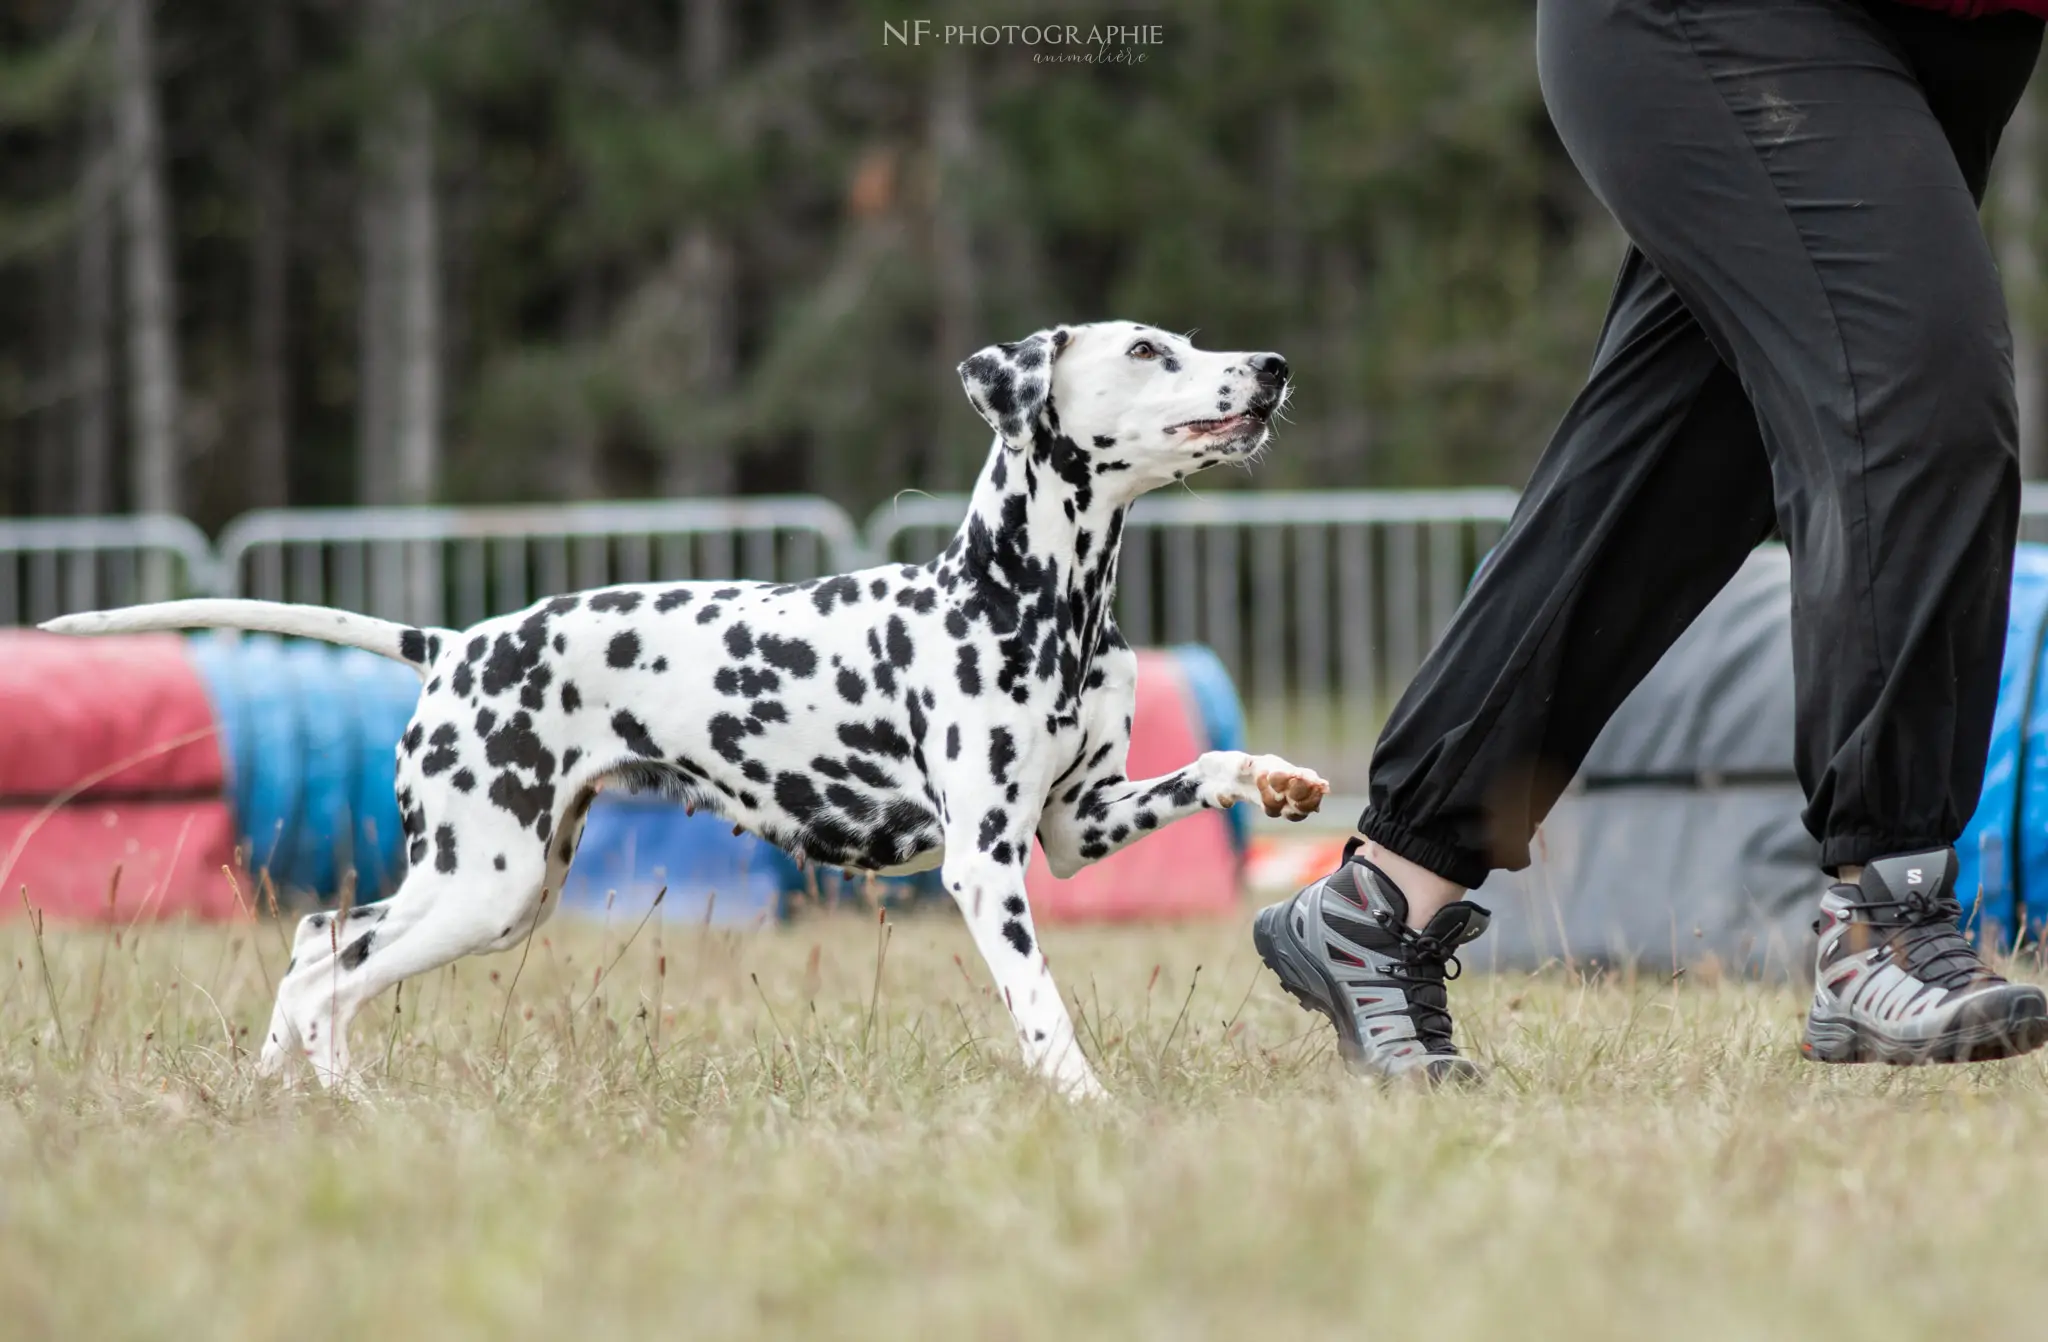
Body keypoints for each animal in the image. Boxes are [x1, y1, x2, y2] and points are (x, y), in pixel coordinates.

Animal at [48, 323, 1335, 1106]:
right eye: (1148, 350)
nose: (1274, 363)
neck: (1034, 598)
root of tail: (455, 642)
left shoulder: (1076, 826)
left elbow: (1210, 762)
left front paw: (1278, 779)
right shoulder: (985, 865)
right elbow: (1041, 1004)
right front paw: (1084, 1101)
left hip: (494, 889)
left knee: (317, 946)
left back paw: (290, 1095)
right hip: (481, 885)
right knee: (328, 965)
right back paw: (346, 1097)